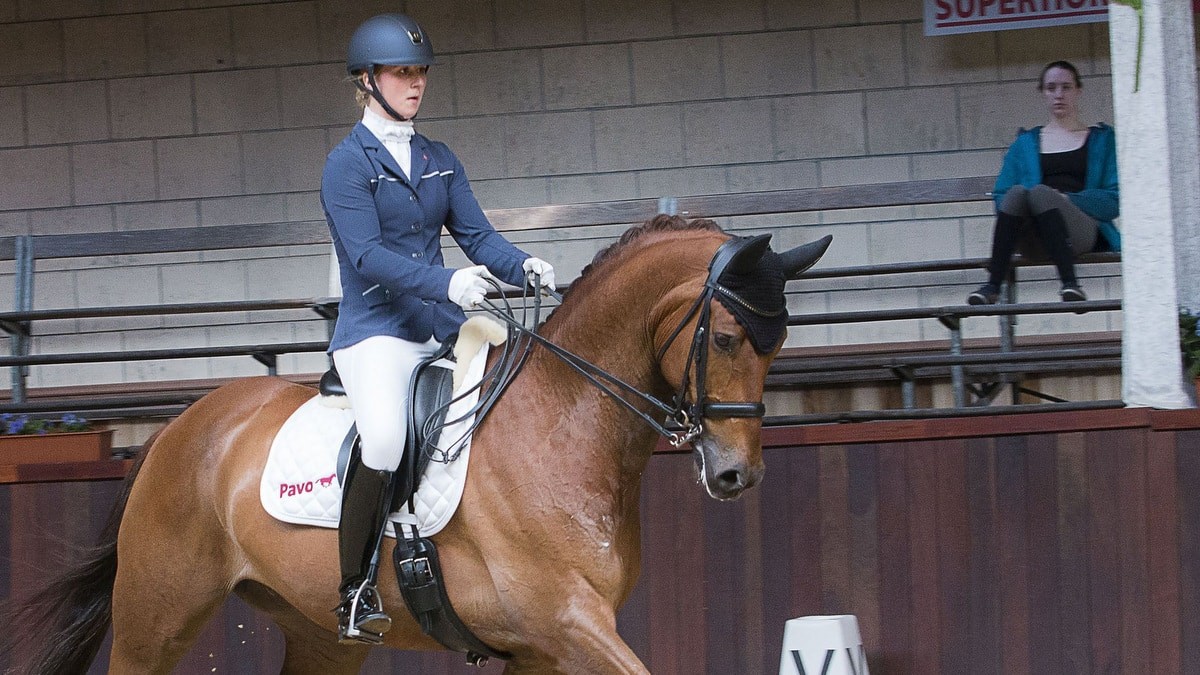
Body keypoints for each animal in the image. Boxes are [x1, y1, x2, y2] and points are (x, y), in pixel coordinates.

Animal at [0, 214, 825, 672]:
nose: (735, 474)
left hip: (322, 635)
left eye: (778, 345)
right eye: (726, 336)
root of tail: (176, 429)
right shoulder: (565, 622)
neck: (562, 421)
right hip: (155, 618)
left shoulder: (542, 648)